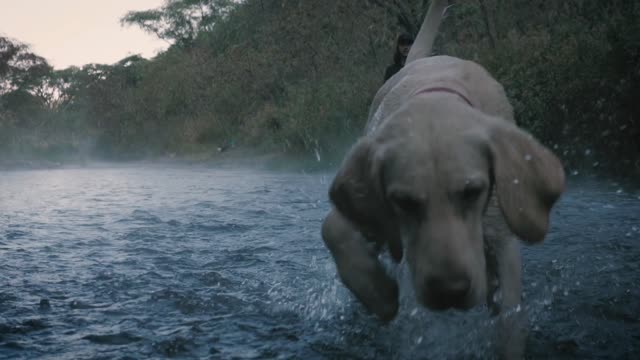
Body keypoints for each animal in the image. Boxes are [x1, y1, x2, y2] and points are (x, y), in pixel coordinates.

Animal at [320, 1, 564, 358]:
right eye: (403, 202)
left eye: (472, 192)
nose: (450, 290)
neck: (434, 100)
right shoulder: (368, 205)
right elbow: (335, 230)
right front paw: (380, 296)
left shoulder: (502, 237)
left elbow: (509, 318)